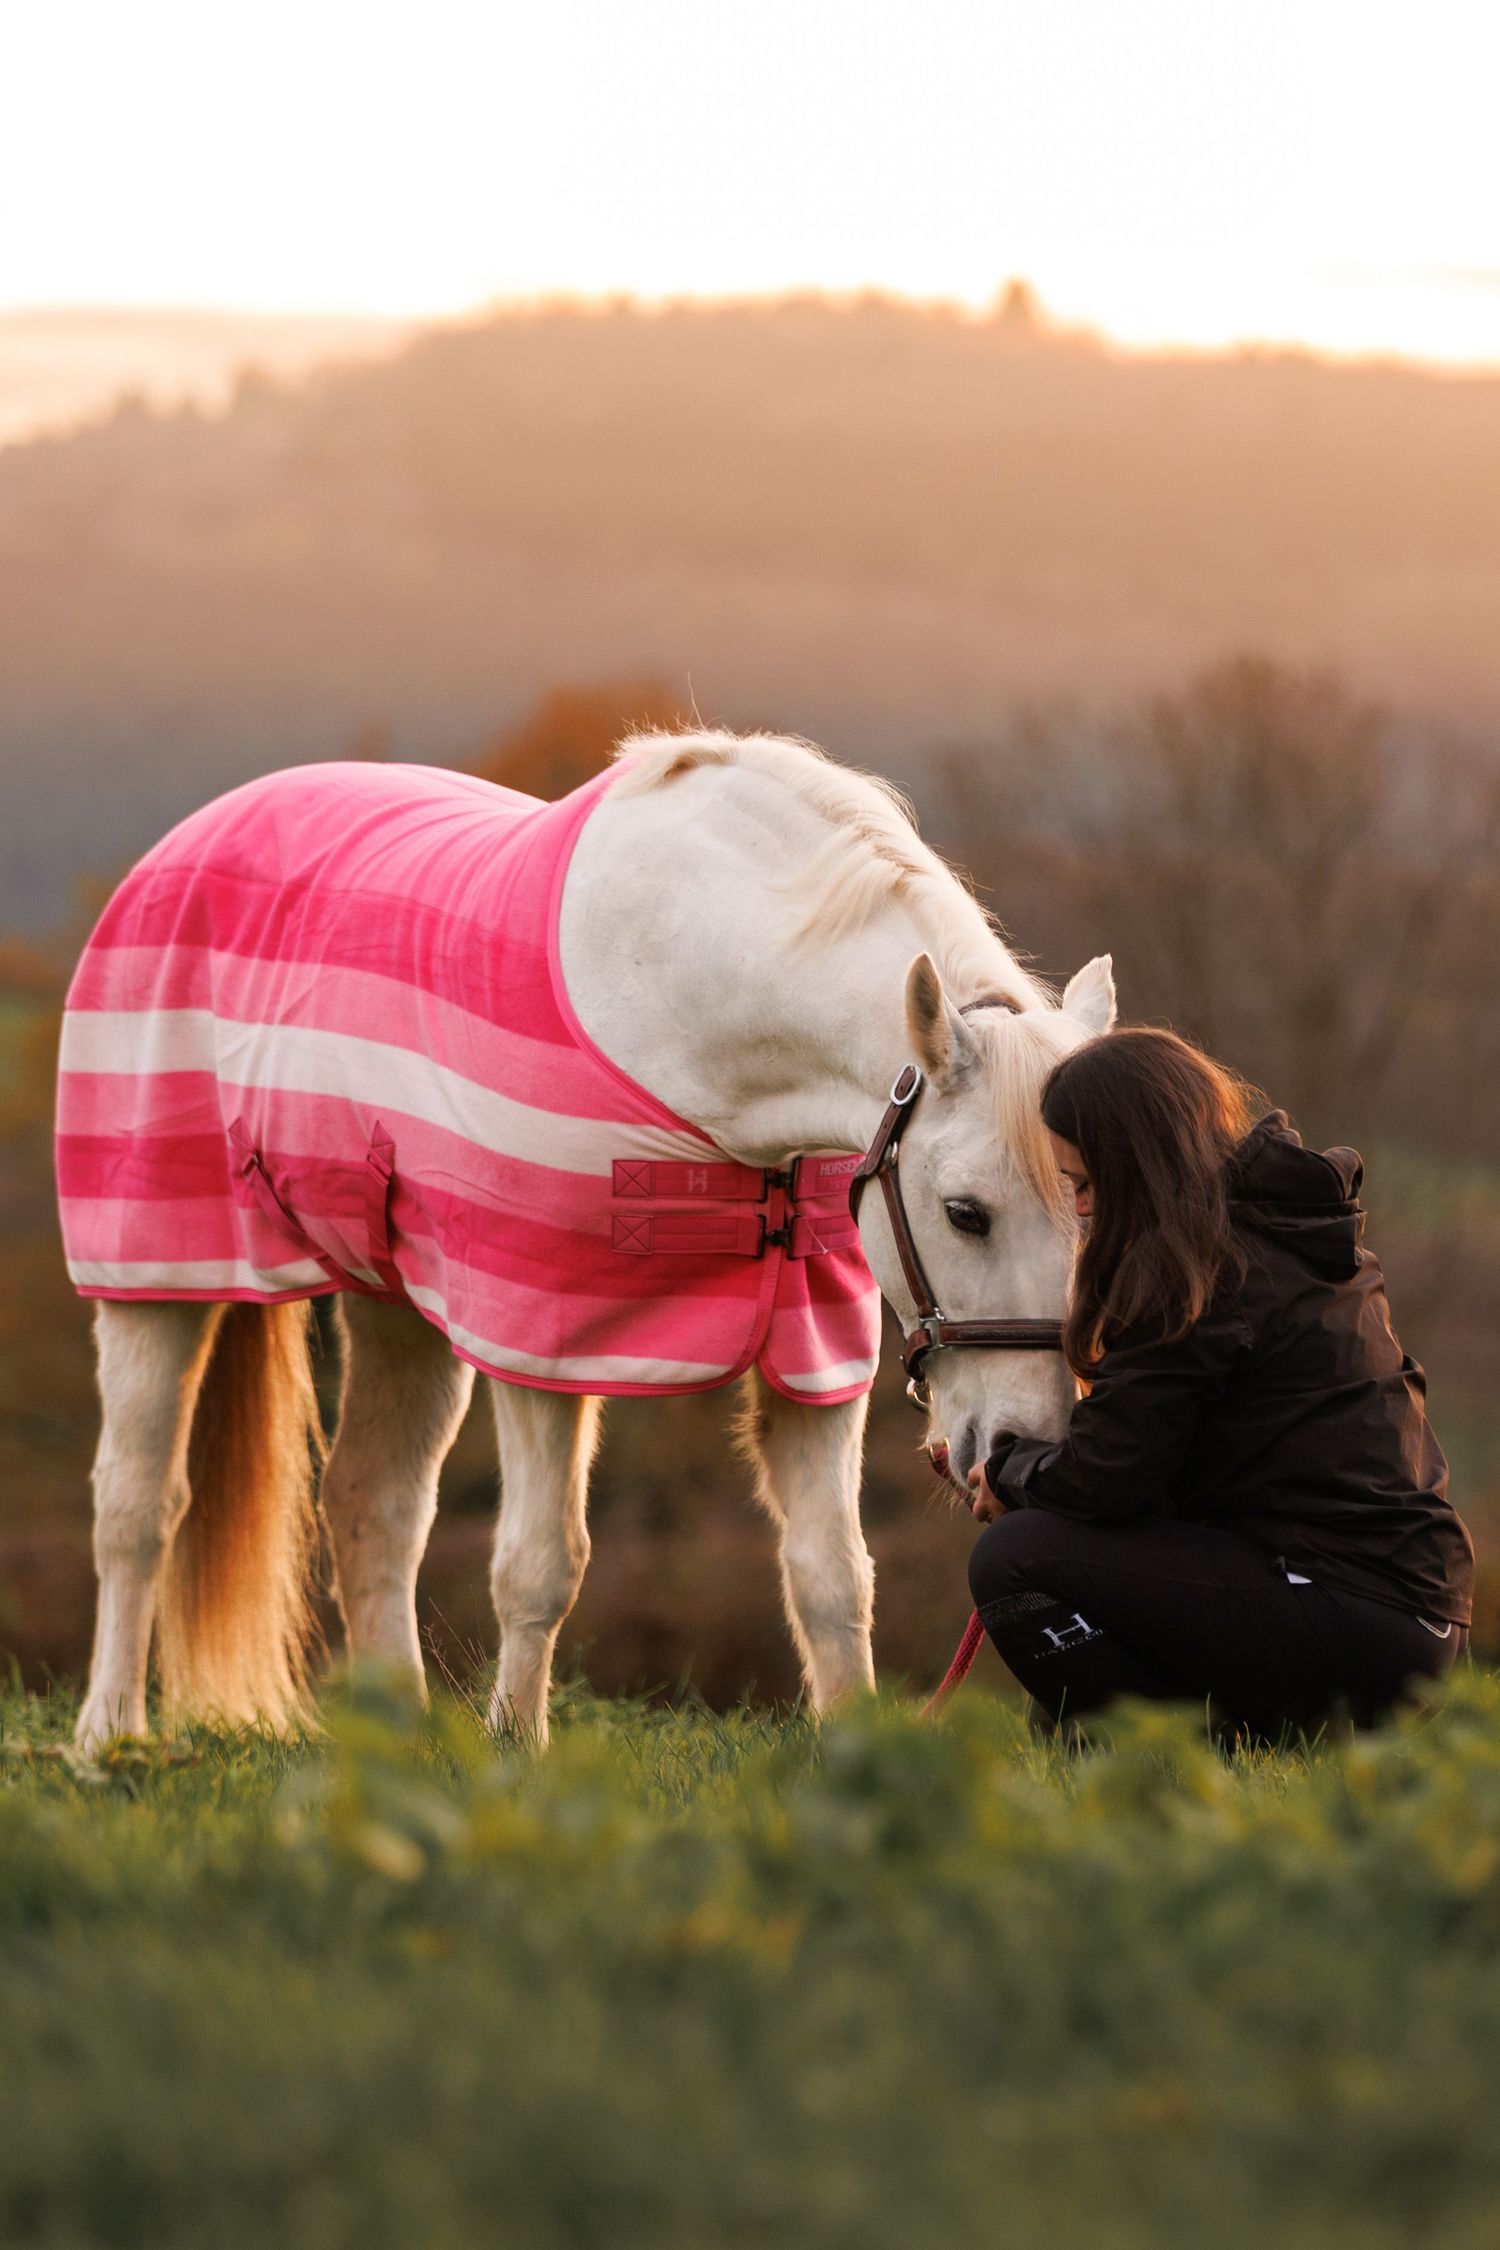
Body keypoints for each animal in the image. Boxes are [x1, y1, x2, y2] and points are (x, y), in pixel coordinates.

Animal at [58, 729, 1114, 1750]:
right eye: (965, 1212)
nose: (1025, 1447)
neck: (692, 995)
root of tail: (191, 839)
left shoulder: (813, 1354)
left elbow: (833, 1575)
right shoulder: (542, 1341)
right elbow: (539, 1567)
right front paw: (516, 1750)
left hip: (395, 1299)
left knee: (371, 1503)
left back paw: (393, 1741)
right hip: (155, 1276)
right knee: (135, 1505)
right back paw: (110, 1737)